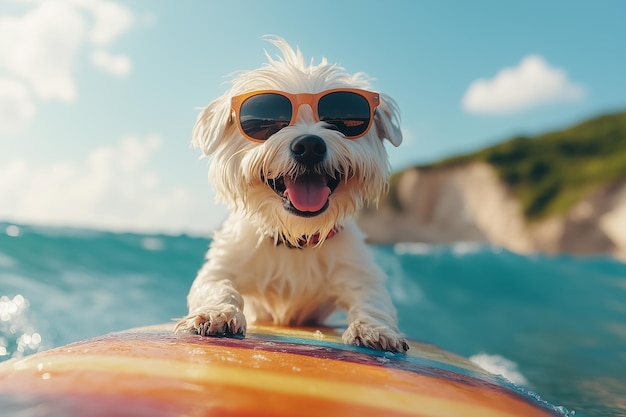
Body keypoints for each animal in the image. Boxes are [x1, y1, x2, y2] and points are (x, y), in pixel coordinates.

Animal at [177, 37, 404, 352]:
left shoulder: (359, 272)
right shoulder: (221, 265)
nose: (309, 146)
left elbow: (373, 300)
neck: (297, 236)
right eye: (268, 121)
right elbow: (218, 286)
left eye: (340, 119)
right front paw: (217, 312)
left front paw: (374, 328)